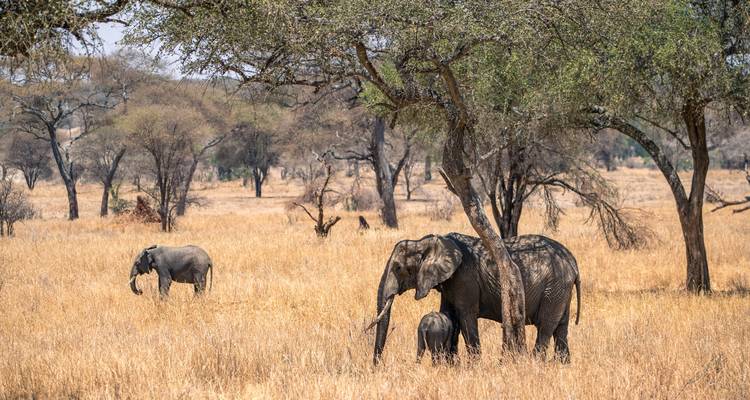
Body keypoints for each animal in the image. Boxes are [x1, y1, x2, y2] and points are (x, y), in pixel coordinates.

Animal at [370, 233, 581, 365]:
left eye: (398, 268)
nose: (376, 367)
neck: (425, 241)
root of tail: (573, 261)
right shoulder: (449, 281)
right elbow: (449, 315)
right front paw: (451, 366)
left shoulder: (465, 278)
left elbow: (466, 317)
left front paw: (473, 367)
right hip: (561, 290)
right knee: (561, 328)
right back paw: (563, 366)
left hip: (554, 287)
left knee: (545, 326)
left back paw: (536, 364)